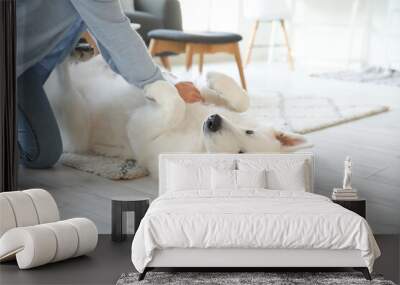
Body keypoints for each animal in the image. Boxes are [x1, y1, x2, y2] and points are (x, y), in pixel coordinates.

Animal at [44, 55, 306, 176]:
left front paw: (155, 88)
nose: (213, 121)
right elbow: (241, 99)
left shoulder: (142, 131)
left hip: (76, 123)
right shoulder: (211, 101)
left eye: (238, 156)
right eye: (249, 131)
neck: (198, 139)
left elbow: (175, 106)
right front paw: (210, 77)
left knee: (63, 89)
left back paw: (61, 66)